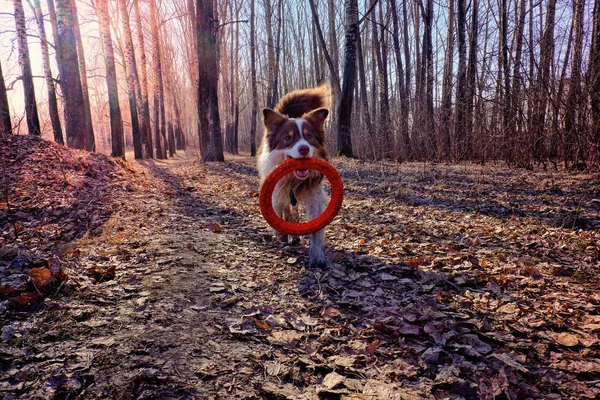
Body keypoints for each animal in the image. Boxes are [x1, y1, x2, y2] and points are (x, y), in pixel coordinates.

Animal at [256, 84, 330, 266]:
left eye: (309, 136)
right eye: (287, 138)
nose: (304, 149)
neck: (294, 180)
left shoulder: (314, 194)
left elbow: (316, 226)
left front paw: (317, 255)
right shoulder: (276, 190)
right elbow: (278, 209)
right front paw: (281, 234)